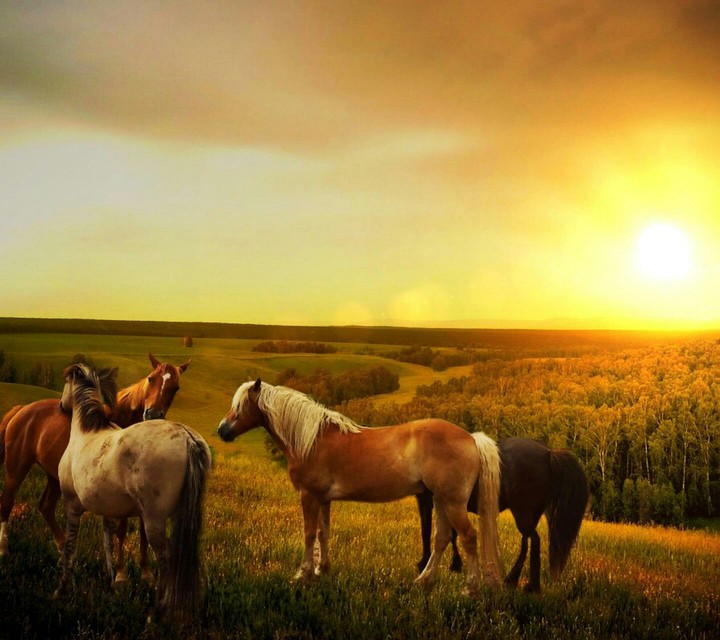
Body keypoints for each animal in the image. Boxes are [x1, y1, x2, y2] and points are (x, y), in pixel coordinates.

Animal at [0, 353, 190, 584]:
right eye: (151, 379)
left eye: (175, 387)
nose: (152, 414)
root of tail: (21, 409)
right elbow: (122, 529)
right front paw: (120, 574)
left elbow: (144, 530)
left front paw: (146, 573)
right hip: (16, 468)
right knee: (7, 503)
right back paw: (4, 550)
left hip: (54, 477)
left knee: (46, 507)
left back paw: (64, 553)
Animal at [55, 363, 211, 617]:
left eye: (65, 383)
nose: (61, 405)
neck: (86, 432)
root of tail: (187, 438)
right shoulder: (107, 511)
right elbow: (108, 543)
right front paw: (113, 581)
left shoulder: (72, 506)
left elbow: (69, 548)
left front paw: (61, 589)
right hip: (179, 515)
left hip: (154, 520)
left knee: (166, 558)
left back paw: (156, 612)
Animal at [217, 379, 503, 597]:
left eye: (241, 406)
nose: (222, 430)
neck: (312, 440)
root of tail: (471, 438)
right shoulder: (323, 499)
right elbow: (322, 532)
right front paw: (322, 569)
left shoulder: (309, 496)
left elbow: (308, 534)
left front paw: (303, 574)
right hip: (440, 500)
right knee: (442, 538)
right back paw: (424, 581)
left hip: (453, 503)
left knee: (468, 537)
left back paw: (470, 588)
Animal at [416, 435, 589, 593]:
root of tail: (549, 453)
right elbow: (451, 534)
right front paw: (455, 564)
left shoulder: (429, 500)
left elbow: (428, 531)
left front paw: (424, 564)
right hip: (530, 514)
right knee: (526, 541)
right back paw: (512, 580)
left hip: (523, 512)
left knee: (534, 540)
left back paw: (531, 586)